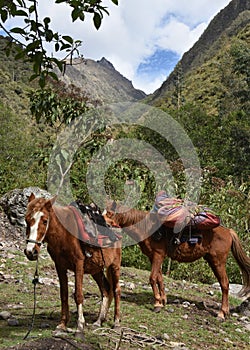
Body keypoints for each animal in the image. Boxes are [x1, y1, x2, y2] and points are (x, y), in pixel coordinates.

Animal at [23, 194, 121, 336]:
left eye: (45, 221)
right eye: (26, 220)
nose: (30, 251)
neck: (64, 234)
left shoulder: (78, 264)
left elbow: (78, 295)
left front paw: (80, 326)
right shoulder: (60, 266)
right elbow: (64, 295)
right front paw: (62, 325)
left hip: (115, 266)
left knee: (116, 290)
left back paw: (117, 323)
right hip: (96, 270)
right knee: (106, 290)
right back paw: (98, 321)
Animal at [104, 202, 250, 320]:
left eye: (109, 214)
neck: (147, 228)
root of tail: (229, 231)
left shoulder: (158, 255)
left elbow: (152, 278)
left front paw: (157, 304)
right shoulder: (154, 257)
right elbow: (159, 278)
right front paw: (162, 301)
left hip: (218, 261)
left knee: (225, 284)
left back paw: (221, 313)